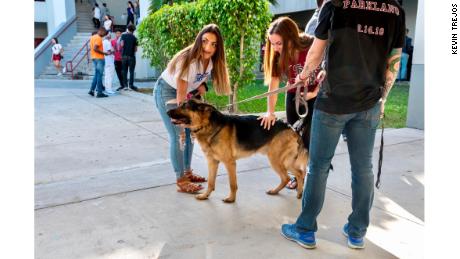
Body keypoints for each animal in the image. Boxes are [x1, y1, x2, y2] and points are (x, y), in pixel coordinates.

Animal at [167, 99, 308, 203]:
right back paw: (289, 192)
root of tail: (292, 128)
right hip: (284, 161)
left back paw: (295, 192)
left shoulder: (230, 163)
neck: (207, 125)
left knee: (291, 176)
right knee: (297, 174)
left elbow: (232, 184)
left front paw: (231, 199)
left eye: (184, 106)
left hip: (277, 160)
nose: (167, 111)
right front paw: (205, 196)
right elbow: (211, 182)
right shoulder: (212, 162)